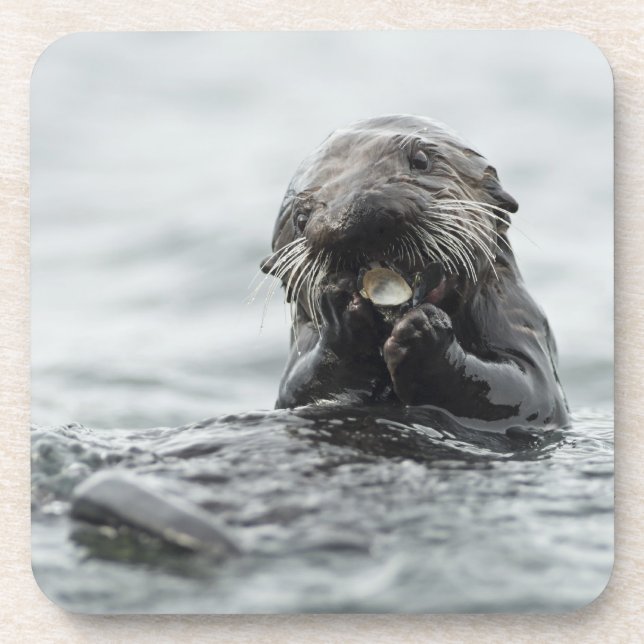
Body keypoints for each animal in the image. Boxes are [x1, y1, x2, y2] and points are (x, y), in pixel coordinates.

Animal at [260, 115, 569, 428]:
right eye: (300, 218)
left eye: (421, 160)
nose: (354, 215)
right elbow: (301, 389)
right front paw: (342, 316)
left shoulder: (518, 319)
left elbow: (528, 391)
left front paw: (424, 331)